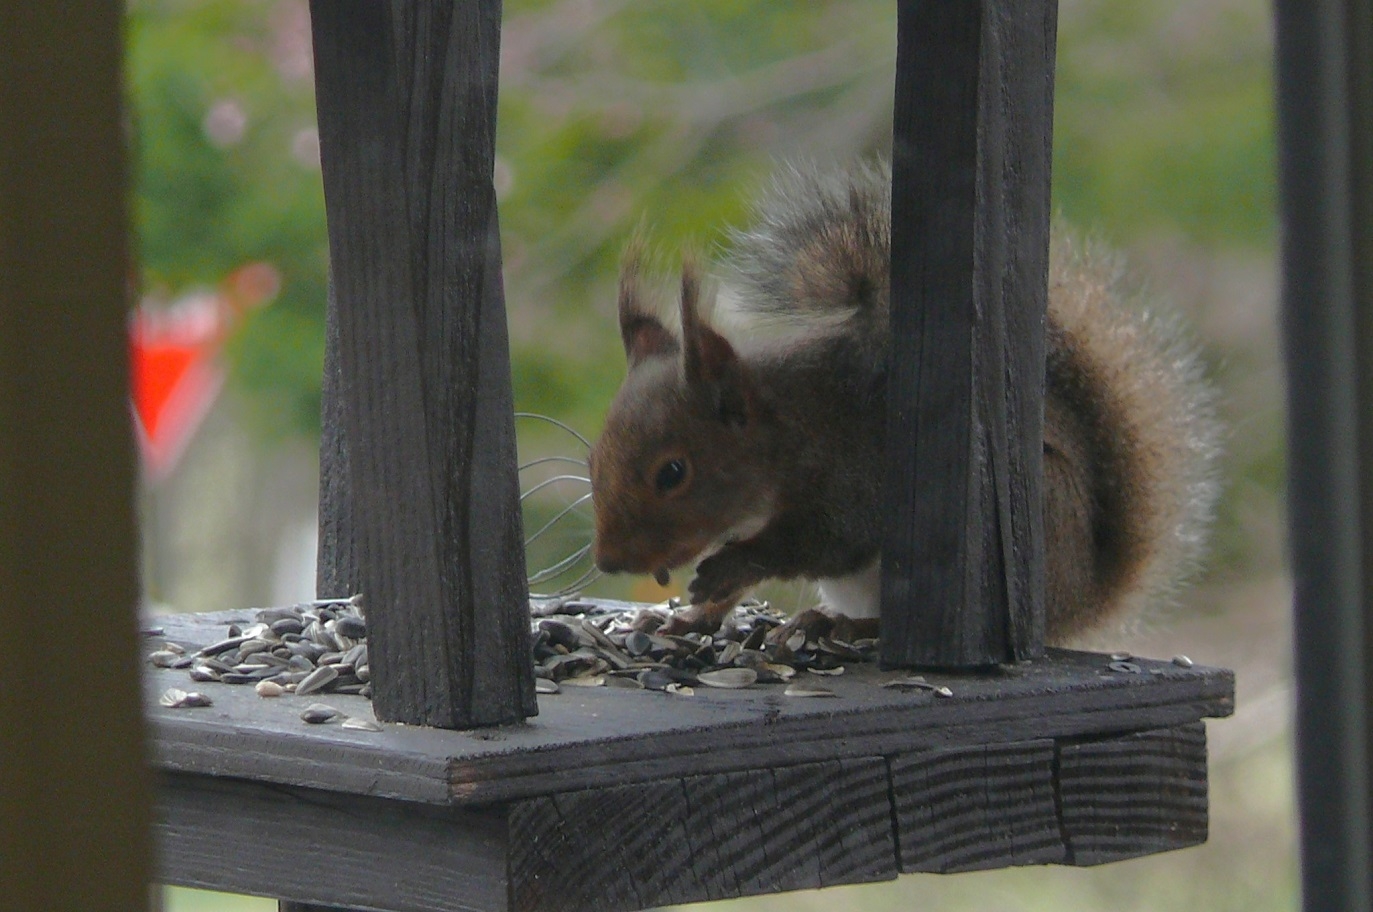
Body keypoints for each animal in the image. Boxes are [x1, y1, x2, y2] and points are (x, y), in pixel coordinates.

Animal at [590, 162, 1224, 648]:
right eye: (594, 460)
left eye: (672, 472)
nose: (608, 561)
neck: (787, 427)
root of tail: (1077, 604)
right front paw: (688, 618)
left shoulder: (853, 474)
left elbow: (819, 541)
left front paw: (728, 567)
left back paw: (841, 627)